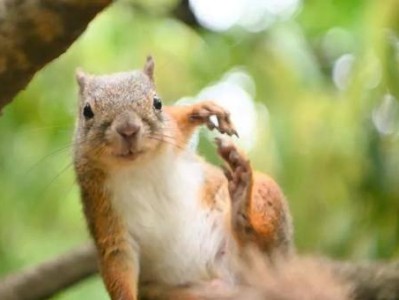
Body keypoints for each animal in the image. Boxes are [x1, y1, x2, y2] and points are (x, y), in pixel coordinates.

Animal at [73, 56, 294, 300]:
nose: (128, 129)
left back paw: (241, 203)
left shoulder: (171, 133)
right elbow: (117, 259)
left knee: (260, 250)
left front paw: (202, 110)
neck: (138, 166)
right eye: (87, 111)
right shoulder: (103, 211)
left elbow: (178, 122)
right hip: (170, 293)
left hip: (267, 197)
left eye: (157, 103)